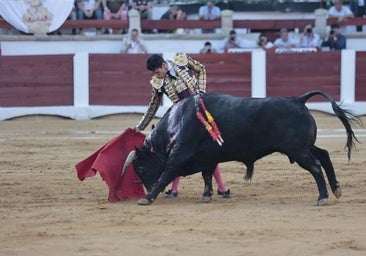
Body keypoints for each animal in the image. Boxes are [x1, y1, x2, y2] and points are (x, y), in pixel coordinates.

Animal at [123, 91, 360, 206]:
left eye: (141, 168)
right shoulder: (207, 157)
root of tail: (297, 100)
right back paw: (336, 189)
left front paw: (148, 198)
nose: (146, 187)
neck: (177, 122)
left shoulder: (180, 156)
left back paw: (322, 197)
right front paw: (206, 195)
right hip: (304, 146)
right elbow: (207, 175)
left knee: (316, 165)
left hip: (297, 150)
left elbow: (166, 174)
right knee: (324, 155)